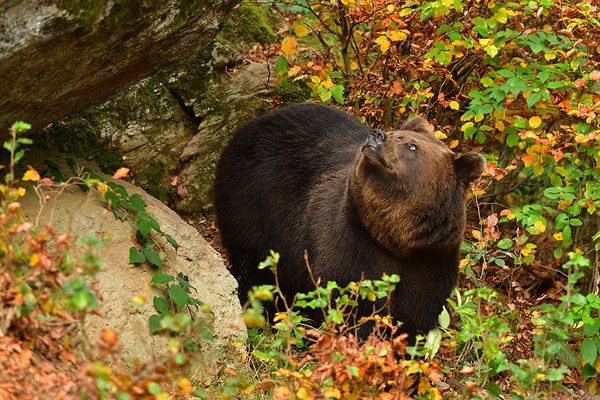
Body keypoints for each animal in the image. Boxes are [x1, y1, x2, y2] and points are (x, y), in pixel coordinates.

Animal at [213, 103, 486, 338]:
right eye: (395, 132)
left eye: (411, 146)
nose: (378, 135)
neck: (394, 239)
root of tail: (251, 124)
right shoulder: (350, 244)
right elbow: (350, 306)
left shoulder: (431, 261)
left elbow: (416, 317)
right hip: (252, 205)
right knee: (253, 265)